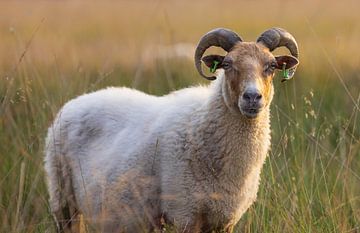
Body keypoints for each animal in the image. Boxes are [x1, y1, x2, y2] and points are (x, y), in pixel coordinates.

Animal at [44, 27, 298, 233]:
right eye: (227, 64)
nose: (252, 97)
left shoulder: (225, 219)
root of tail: (74, 102)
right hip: (63, 199)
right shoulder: (185, 213)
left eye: (271, 66)